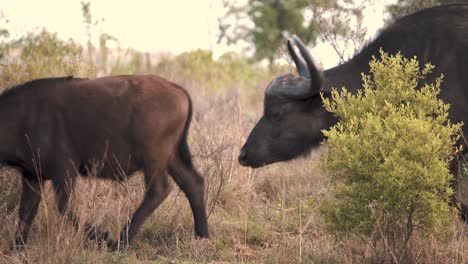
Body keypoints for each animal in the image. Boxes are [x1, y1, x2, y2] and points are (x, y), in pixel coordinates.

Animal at [3, 73, 208, 250]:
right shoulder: (32, 176)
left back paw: (121, 242)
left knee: (158, 190)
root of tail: (178, 90)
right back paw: (202, 236)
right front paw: (16, 249)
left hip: (154, 157)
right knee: (193, 184)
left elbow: (65, 208)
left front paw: (106, 239)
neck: (23, 117)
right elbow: (26, 213)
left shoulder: (64, 171)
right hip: (171, 157)